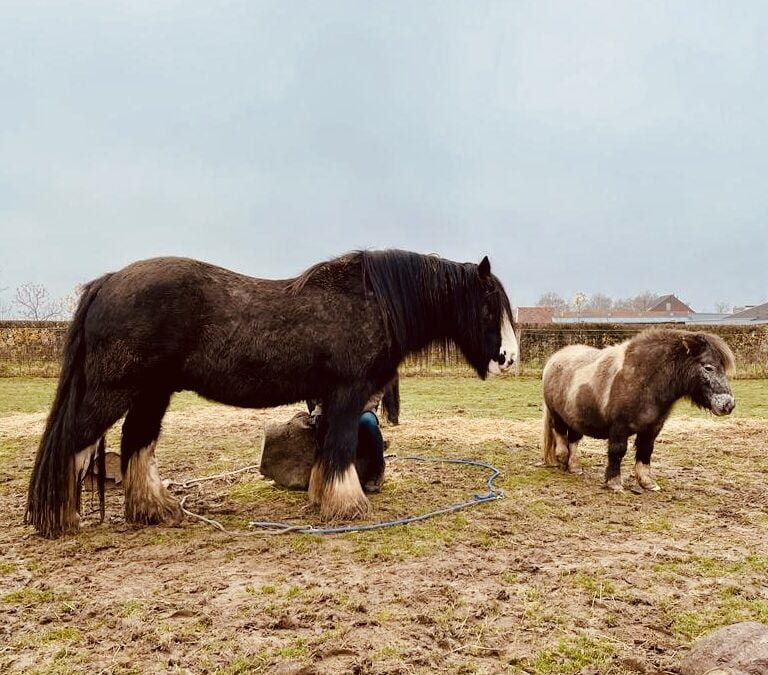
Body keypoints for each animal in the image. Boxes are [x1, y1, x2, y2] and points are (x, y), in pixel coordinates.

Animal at [27, 249, 518, 538]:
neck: (371, 301)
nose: (510, 358)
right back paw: (63, 519)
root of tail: (107, 282)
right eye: (488, 306)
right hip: (113, 390)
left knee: (137, 442)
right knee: (74, 442)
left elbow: (327, 451)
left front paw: (323, 498)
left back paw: (156, 511)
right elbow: (341, 448)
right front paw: (347, 506)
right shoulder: (346, 394)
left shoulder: (331, 398)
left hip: (152, 392)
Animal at [541, 329, 735, 491]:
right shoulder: (619, 427)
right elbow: (618, 451)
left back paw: (574, 467)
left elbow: (645, 451)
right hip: (557, 415)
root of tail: (553, 360)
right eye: (708, 367)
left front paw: (647, 482)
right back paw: (562, 459)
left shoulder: (652, 428)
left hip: (576, 418)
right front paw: (614, 483)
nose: (728, 404)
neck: (645, 381)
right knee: (560, 434)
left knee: (574, 439)